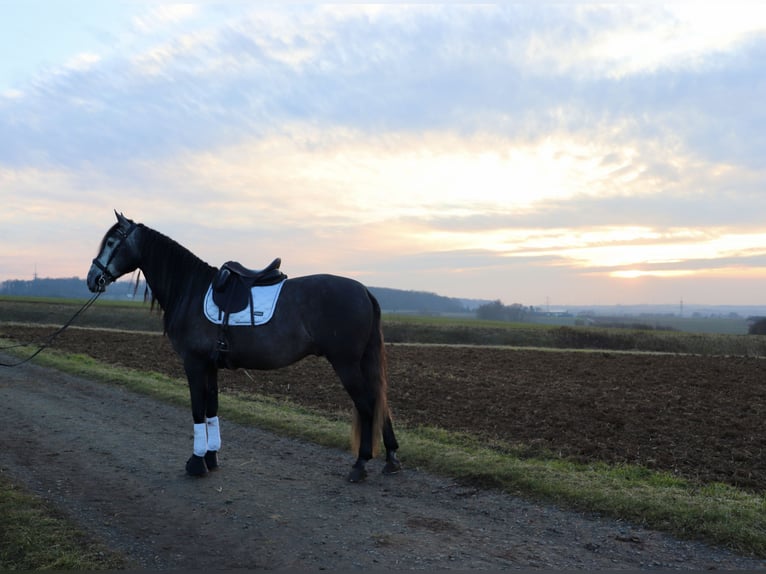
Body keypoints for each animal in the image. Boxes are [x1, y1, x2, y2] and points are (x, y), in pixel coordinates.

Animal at [86, 210, 402, 482]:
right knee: (380, 403)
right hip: (363, 361)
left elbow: (197, 409)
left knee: (367, 405)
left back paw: (360, 464)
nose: (92, 279)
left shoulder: (194, 363)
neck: (190, 290)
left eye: (112, 242)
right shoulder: (211, 365)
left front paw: (196, 463)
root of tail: (364, 291)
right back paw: (391, 459)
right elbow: (211, 408)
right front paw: (211, 458)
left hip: (346, 363)